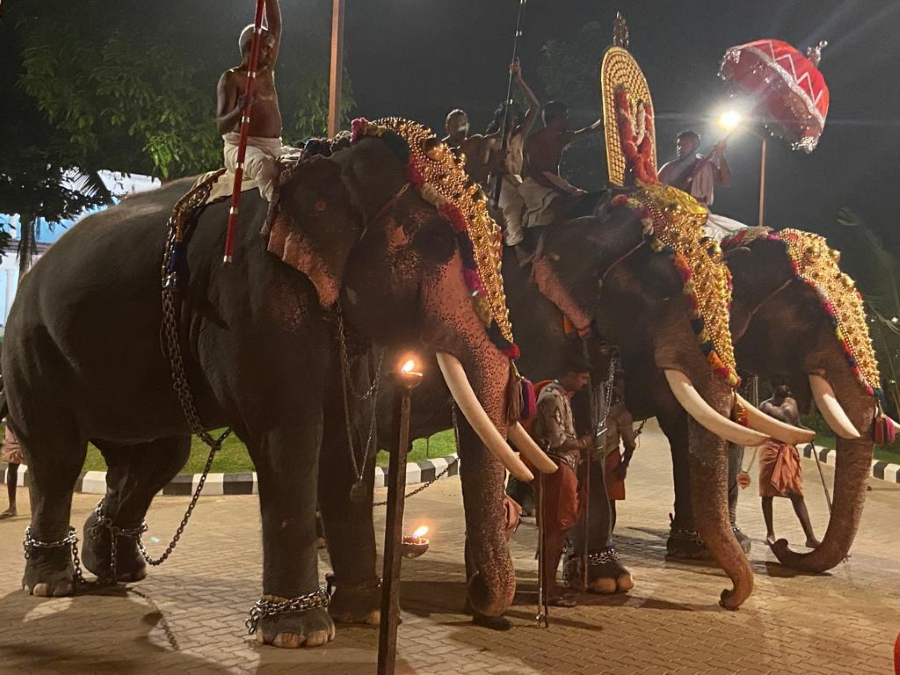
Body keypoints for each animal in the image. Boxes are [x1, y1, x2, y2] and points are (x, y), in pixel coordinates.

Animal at [1, 127, 555, 648]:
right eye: (439, 244)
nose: (484, 609)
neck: (337, 163)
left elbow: (346, 441)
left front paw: (367, 614)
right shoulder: (256, 297)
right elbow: (290, 439)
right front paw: (300, 634)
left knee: (158, 456)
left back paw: (117, 566)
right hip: (29, 349)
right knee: (57, 455)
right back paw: (52, 583)